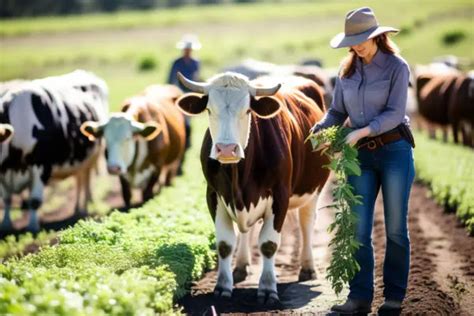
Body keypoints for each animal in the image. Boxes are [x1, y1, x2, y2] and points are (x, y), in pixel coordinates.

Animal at [0, 69, 108, 232]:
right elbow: (6, 198)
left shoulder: (41, 164)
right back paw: (78, 209)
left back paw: (85, 208)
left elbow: (35, 200)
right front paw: (6, 224)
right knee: (80, 179)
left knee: (85, 180)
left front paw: (33, 226)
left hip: (93, 156)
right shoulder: (3, 172)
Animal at [176, 71, 332, 304]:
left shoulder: (280, 196)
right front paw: (223, 286)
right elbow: (224, 244)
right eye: (209, 109)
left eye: (247, 110)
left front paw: (267, 288)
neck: (238, 176)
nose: (226, 149)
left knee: (306, 224)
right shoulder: (213, 194)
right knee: (246, 232)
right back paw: (241, 267)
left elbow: (268, 244)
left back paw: (307, 268)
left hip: (314, 190)